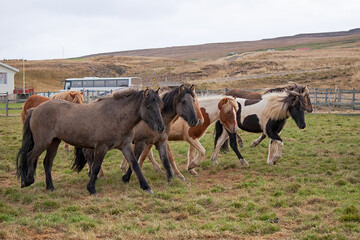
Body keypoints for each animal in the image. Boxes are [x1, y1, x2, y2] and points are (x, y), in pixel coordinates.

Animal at [15, 88, 165, 195]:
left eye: (160, 105)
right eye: (148, 106)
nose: (161, 127)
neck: (116, 116)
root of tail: (35, 109)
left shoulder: (126, 146)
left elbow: (135, 164)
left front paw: (146, 187)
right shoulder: (101, 148)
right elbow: (96, 166)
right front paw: (92, 189)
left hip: (54, 142)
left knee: (47, 163)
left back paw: (50, 187)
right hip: (43, 142)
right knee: (29, 156)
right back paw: (27, 181)